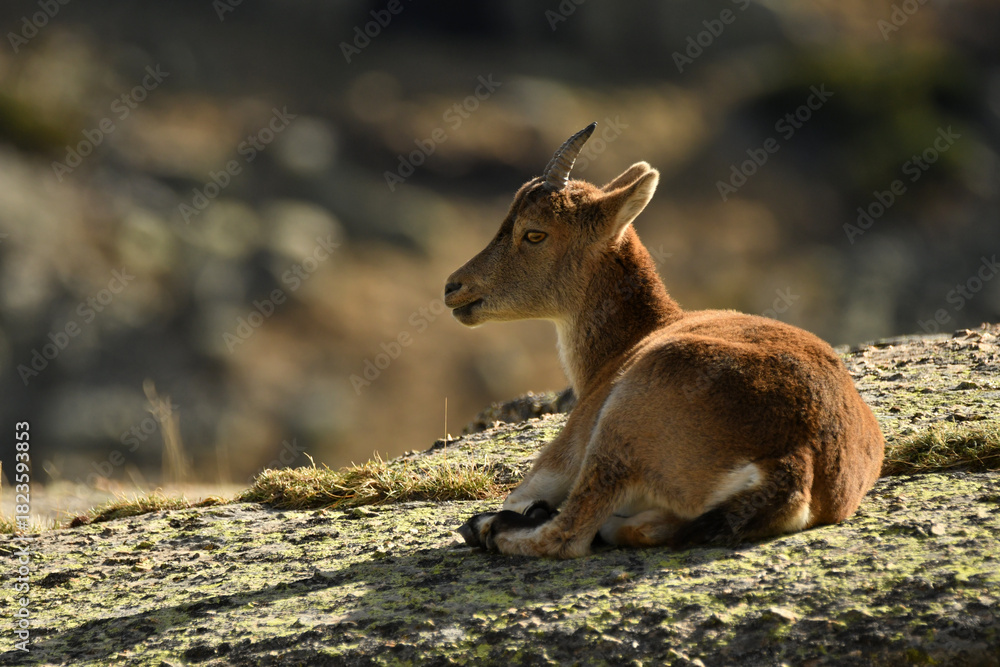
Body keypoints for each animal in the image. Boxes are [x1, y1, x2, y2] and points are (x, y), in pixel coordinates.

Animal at [445, 123, 884, 558]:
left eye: (534, 233)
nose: (454, 287)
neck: (633, 338)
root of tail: (797, 458)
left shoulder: (564, 452)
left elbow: (521, 497)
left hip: (619, 427)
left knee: (570, 533)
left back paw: (489, 527)